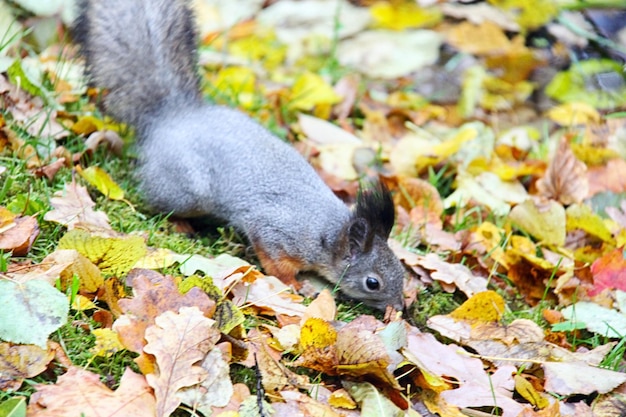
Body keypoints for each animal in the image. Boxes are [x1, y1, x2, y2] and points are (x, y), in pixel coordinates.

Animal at [73, 0, 404, 310]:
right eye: (372, 282)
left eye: (402, 271)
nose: (400, 307)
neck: (329, 232)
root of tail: (171, 118)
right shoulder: (275, 233)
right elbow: (275, 262)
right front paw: (296, 285)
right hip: (186, 190)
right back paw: (180, 224)